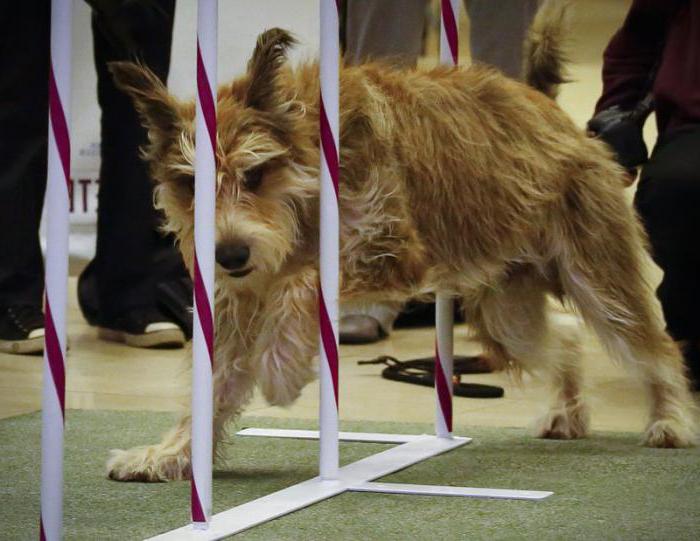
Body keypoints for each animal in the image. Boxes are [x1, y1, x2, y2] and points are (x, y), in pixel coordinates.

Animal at [104, 0, 696, 480]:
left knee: (652, 346)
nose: (228, 255)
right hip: (508, 307)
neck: (308, 179)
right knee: (566, 338)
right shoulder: (234, 302)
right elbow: (214, 382)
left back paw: (669, 420)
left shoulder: (388, 251)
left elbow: (306, 279)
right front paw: (172, 453)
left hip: (596, 272)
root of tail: (544, 105)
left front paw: (280, 369)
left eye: (254, 174)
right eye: (190, 184)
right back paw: (566, 413)